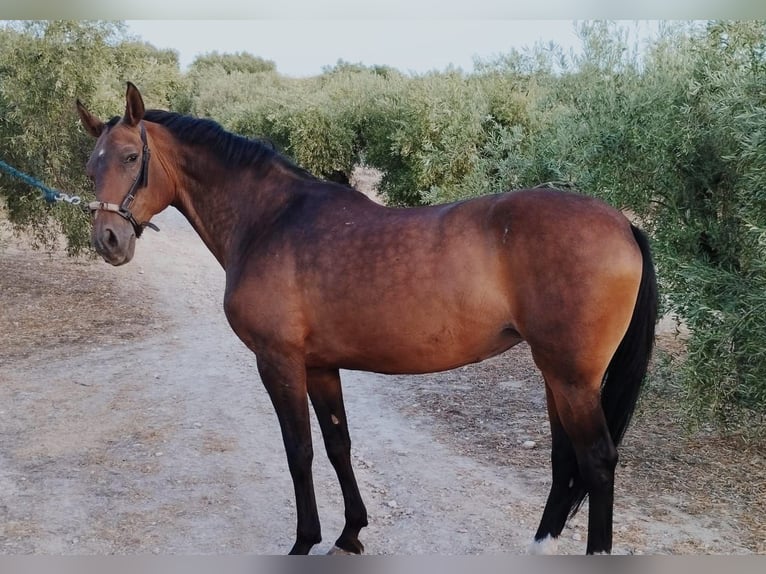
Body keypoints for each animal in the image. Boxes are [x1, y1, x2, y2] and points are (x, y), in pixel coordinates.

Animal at [78, 82, 660, 560]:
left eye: (132, 156)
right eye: (91, 166)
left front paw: (304, 540)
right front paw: (350, 533)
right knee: (566, 460)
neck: (270, 220)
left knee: (597, 460)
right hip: (557, 376)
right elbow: (339, 445)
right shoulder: (319, 366)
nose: (109, 240)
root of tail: (623, 224)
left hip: (572, 377)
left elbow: (299, 451)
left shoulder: (278, 362)